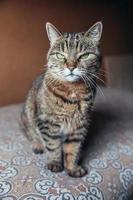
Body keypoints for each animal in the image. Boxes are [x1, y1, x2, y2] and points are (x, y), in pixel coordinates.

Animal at [21, 21, 103, 177]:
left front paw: (72, 167)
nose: (71, 67)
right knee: (30, 133)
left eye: (84, 56)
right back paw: (37, 145)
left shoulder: (79, 125)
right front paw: (55, 163)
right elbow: (53, 145)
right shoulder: (48, 121)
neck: (73, 91)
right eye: (60, 55)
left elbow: (73, 148)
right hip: (26, 115)